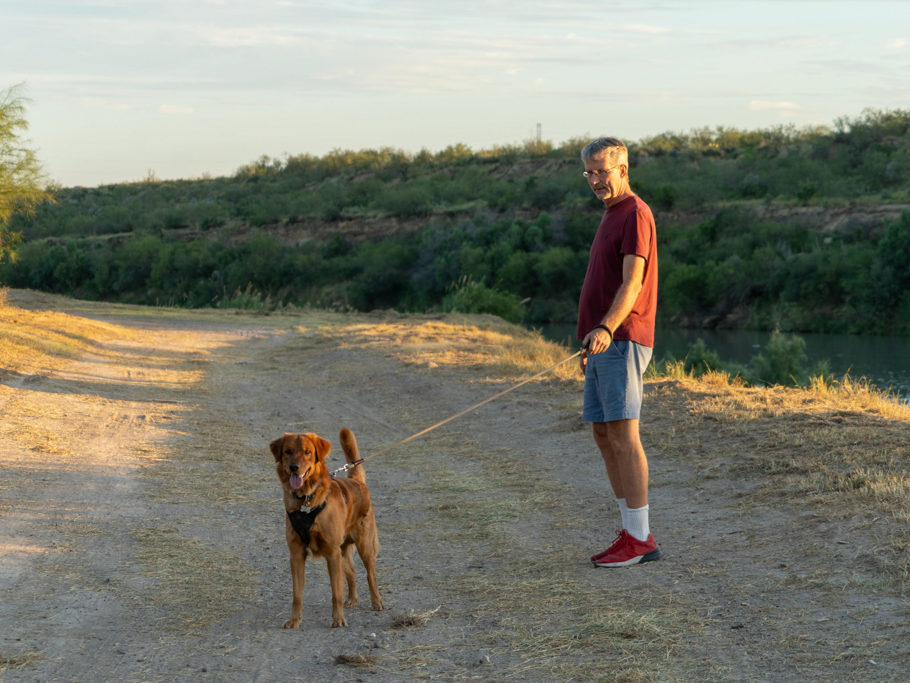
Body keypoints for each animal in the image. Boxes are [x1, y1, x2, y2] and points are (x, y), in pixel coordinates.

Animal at [270, 430, 384, 628]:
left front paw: (338, 619)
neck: (306, 500)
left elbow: (336, 592)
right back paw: (352, 599)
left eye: (307, 452)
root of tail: (356, 481)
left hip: (364, 546)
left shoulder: (331, 553)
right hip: (342, 551)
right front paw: (295, 620)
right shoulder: (296, 554)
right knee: (351, 573)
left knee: (371, 575)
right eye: (287, 451)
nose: (294, 467)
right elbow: (297, 595)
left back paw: (376, 602)